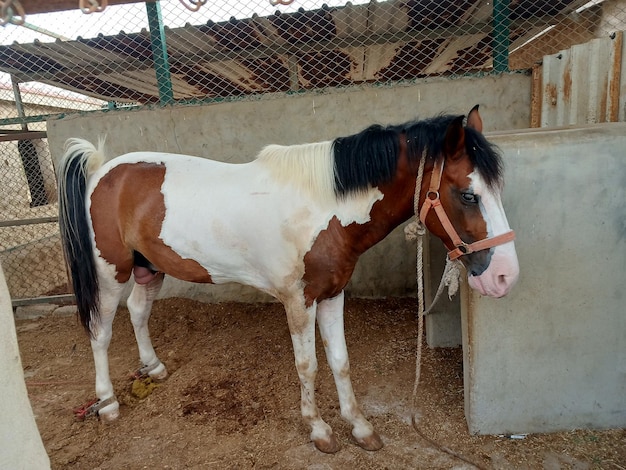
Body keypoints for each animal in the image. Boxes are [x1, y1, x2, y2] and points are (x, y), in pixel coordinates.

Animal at [57, 104, 516, 454]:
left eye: (497, 189)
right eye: (468, 194)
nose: (504, 276)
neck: (323, 206)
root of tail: (100, 171)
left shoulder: (332, 295)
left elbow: (340, 361)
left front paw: (360, 427)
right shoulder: (298, 301)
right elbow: (307, 365)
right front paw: (319, 430)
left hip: (149, 267)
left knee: (138, 310)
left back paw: (152, 367)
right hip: (110, 273)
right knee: (100, 332)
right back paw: (107, 402)